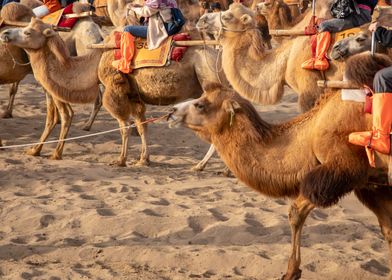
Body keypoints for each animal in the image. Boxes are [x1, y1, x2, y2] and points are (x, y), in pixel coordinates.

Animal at [169, 84, 392, 280]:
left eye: (200, 104)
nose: (171, 111)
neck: (313, 132)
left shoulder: (343, 170)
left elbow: (296, 212)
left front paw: (291, 272)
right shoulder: (371, 184)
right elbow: (388, 229)